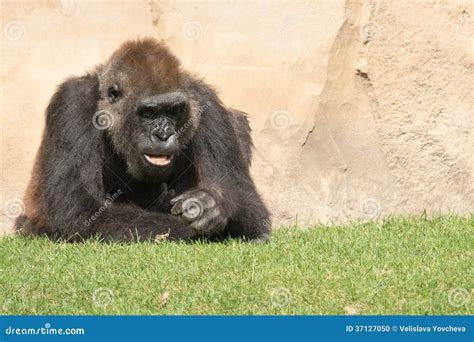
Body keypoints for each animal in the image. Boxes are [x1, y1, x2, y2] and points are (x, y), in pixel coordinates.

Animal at [15, 38, 270, 243]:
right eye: (148, 113)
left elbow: (248, 199)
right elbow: (80, 212)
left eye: (175, 110)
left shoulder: (206, 102)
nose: (163, 134)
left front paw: (215, 205)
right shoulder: (73, 103)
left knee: (237, 119)